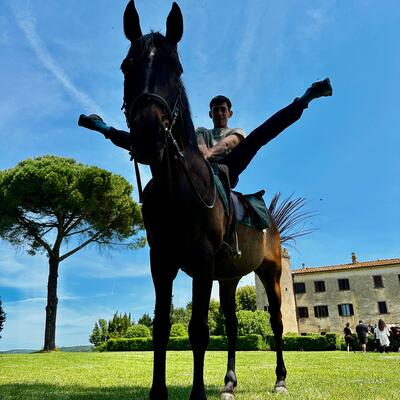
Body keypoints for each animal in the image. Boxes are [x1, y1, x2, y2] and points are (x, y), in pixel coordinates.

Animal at [121, 2, 308, 399]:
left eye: (176, 68)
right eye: (126, 65)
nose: (147, 134)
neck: (177, 187)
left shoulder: (203, 262)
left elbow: (198, 331)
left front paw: (197, 393)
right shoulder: (162, 262)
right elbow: (162, 327)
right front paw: (158, 392)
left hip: (270, 272)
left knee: (277, 322)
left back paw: (280, 379)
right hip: (230, 278)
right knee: (234, 325)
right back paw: (229, 382)